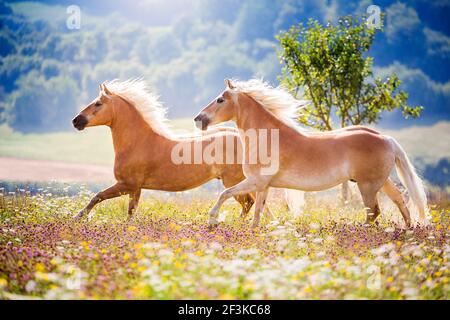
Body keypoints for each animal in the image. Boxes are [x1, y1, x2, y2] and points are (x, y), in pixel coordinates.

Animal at [70, 79, 255, 221]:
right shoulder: (136, 189)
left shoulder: (127, 184)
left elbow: (98, 196)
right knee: (251, 203)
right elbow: (130, 213)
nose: (76, 121)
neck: (138, 142)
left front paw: (78, 216)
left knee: (248, 202)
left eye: (98, 103)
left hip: (233, 181)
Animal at [194, 79, 428, 229]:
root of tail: (386, 139)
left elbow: (225, 194)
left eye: (220, 100)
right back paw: (407, 230)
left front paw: (212, 220)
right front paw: (254, 231)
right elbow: (258, 213)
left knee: (374, 212)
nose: (198, 119)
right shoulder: (263, 186)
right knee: (399, 201)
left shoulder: (255, 182)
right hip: (381, 182)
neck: (267, 137)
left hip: (367, 186)